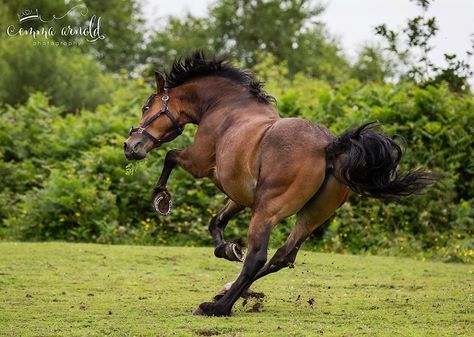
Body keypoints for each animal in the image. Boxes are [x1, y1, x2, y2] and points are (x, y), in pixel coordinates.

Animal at [123, 50, 436, 316]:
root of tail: (329, 146)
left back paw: (218, 307)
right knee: (283, 256)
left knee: (258, 257)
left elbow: (170, 157)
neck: (224, 106)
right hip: (312, 215)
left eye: (147, 106)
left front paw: (161, 198)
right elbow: (216, 223)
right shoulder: (240, 195)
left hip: (267, 212)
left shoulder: (199, 163)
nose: (130, 146)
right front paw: (228, 249)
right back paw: (227, 293)